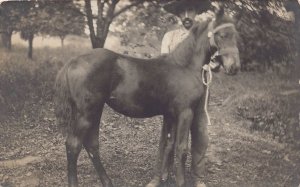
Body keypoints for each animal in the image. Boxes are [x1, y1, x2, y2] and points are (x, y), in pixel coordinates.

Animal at [55, 6, 240, 187]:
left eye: (235, 35)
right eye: (222, 35)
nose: (234, 67)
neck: (184, 66)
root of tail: (72, 62)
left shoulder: (171, 114)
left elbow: (169, 145)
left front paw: (165, 179)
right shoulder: (185, 113)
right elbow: (181, 149)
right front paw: (179, 182)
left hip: (96, 110)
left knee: (92, 144)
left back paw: (108, 182)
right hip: (85, 113)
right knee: (73, 145)